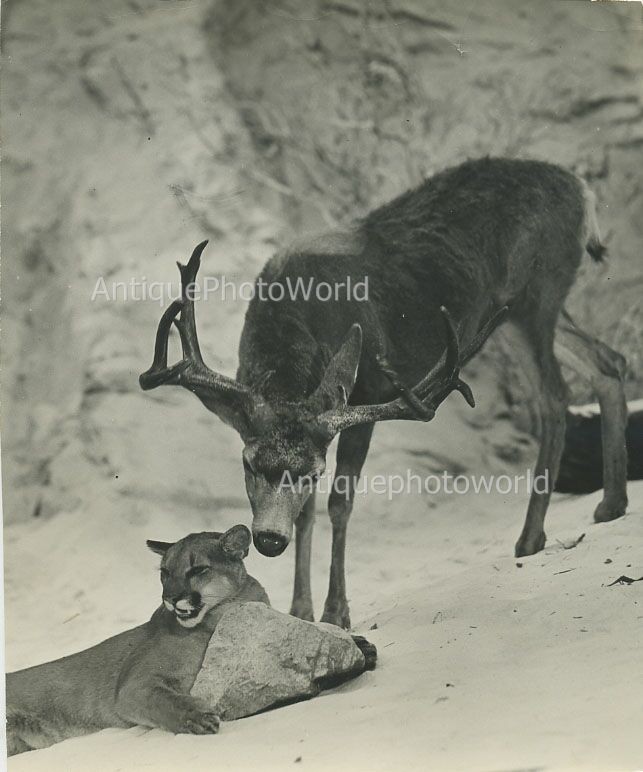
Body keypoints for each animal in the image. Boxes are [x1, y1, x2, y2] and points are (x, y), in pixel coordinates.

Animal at [140, 157, 629, 629]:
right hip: (511, 314)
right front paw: (299, 610)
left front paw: (336, 612)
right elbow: (308, 513)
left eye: (314, 472)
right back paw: (611, 504)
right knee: (609, 363)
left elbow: (340, 502)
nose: (269, 539)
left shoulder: (369, 393)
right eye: (248, 463)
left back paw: (530, 538)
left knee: (554, 395)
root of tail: (582, 189)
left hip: (536, 295)